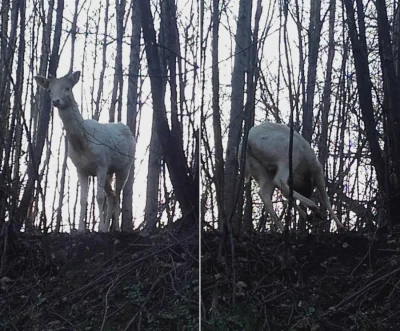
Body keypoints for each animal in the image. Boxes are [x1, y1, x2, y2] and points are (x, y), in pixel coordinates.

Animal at [33, 72, 136, 233]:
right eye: (49, 90)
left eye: (67, 88)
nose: (56, 101)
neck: (82, 144)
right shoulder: (80, 168)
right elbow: (83, 199)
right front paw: (81, 229)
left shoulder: (102, 164)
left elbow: (99, 197)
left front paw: (100, 228)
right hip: (109, 172)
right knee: (111, 195)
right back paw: (107, 227)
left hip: (125, 166)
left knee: (118, 194)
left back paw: (116, 228)